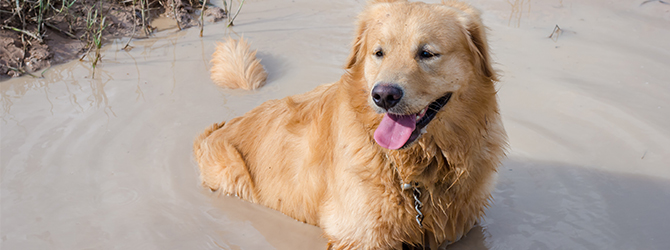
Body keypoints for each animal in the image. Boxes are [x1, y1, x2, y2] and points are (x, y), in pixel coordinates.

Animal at [196, 0, 510, 248]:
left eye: (427, 53)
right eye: (378, 52)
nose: (384, 95)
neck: (413, 169)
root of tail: (221, 126)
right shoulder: (359, 236)